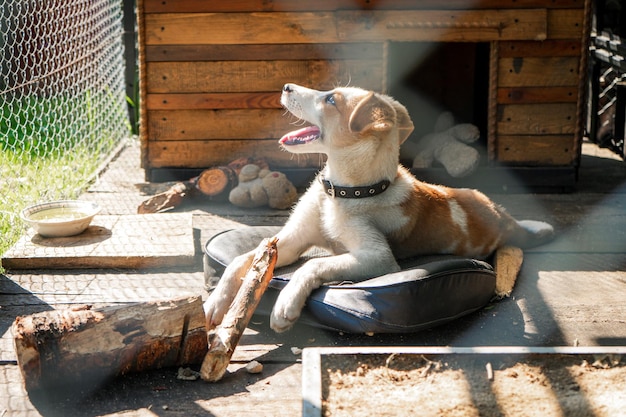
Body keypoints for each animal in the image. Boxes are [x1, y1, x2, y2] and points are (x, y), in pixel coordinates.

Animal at [204, 83, 552, 332]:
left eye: (331, 100)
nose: (286, 87)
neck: (341, 192)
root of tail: (503, 218)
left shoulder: (377, 257)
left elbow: (312, 264)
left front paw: (285, 305)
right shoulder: (290, 240)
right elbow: (240, 260)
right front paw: (213, 304)